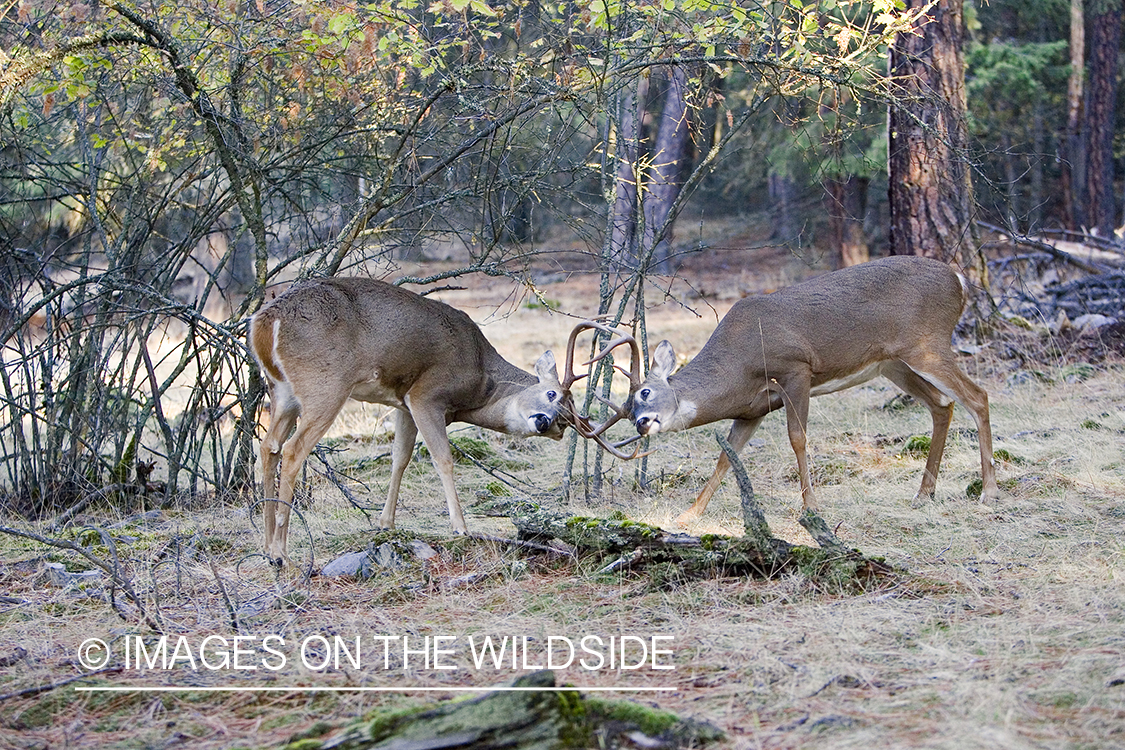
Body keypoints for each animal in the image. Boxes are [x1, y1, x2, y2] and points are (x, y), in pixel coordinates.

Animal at [254, 277, 571, 568]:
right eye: (551, 394)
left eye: (565, 423)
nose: (544, 422)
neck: (480, 382)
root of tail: (264, 322)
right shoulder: (426, 395)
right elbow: (443, 458)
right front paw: (460, 527)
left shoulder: (403, 404)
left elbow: (400, 458)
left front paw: (386, 522)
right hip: (325, 386)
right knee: (293, 450)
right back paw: (281, 553)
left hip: (282, 392)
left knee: (269, 446)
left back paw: (268, 546)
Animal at [625, 255, 1003, 526]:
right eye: (628, 409)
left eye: (644, 393)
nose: (641, 423)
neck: (739, 363)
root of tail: (959, 280)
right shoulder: (753, 409)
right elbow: (726, 456)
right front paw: (688, 515)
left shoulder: (796, 370)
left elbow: (798, 438)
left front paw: (811, 507)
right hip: (893, 363)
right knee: (942, 405)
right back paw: (924, 494)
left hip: (926, 344)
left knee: (978, 397)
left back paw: (988, 492)